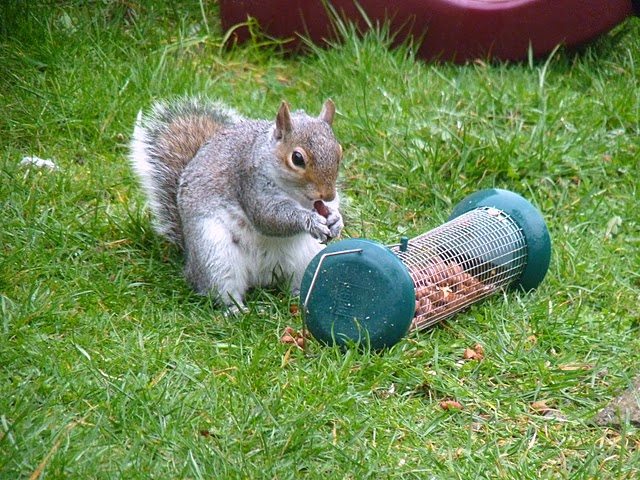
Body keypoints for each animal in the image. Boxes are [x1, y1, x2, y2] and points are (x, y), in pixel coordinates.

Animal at [129, 96, 344, 312]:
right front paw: (310, 221)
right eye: (297, 158)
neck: (297, 194)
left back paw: (300, 297)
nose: (327, 194)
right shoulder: (250, 186)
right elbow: (269, 218)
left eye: (339, 152)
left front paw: (336, 219)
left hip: (308, 258)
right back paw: (237, 310)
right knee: (223, 291)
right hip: (215, 256)